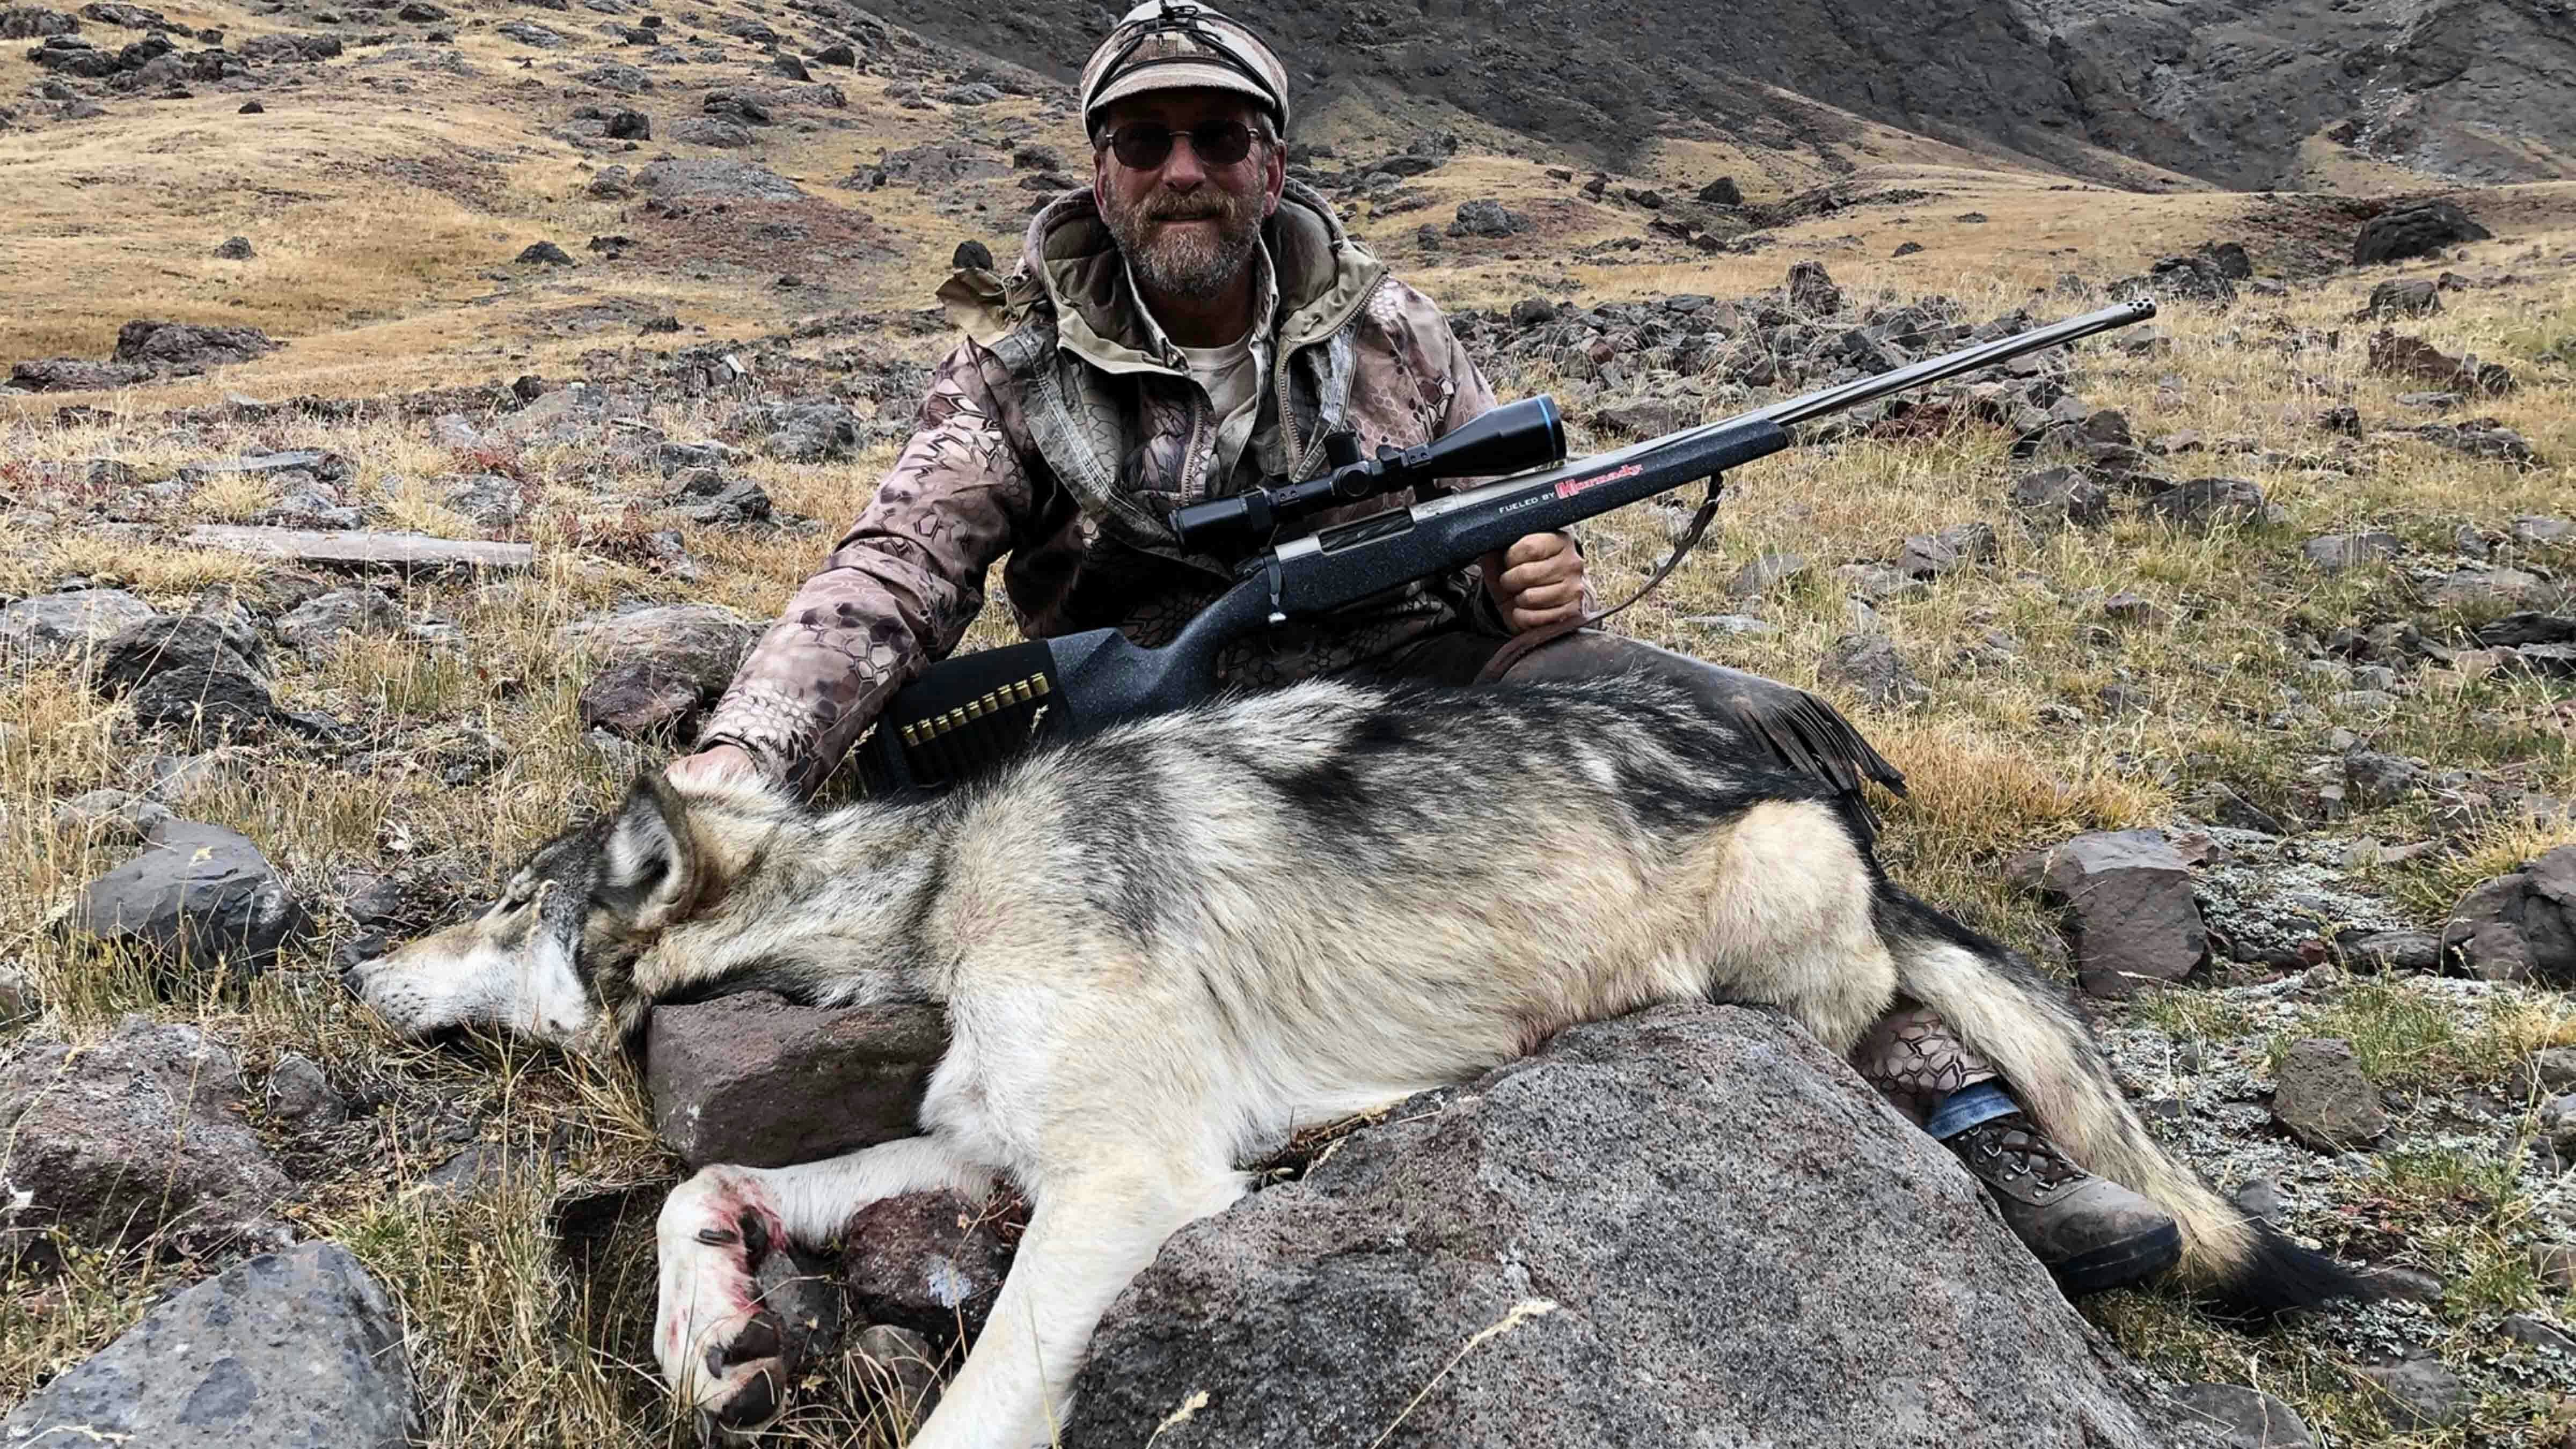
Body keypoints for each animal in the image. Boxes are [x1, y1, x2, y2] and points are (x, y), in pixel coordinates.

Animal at [349, 671, 2363, 1448]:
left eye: (503, 902)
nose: (361, 957)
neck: (928, 900)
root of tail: (1872, 844)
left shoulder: (1128, 1182)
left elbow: (975, 1416)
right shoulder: (1002, 1151)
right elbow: (712, 1172)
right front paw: (708, 1322)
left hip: (1766, 918)